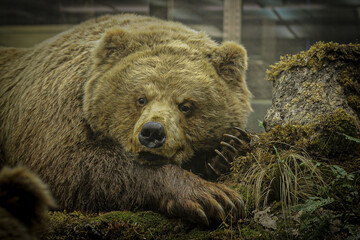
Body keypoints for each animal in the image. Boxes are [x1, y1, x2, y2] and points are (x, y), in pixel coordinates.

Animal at [0, 14, 252, 226]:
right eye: (141, 98)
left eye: (186, 105)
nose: (153, 132)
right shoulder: (54, 115)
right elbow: (68, 165)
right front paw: (213, 197)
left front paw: (227, 149)